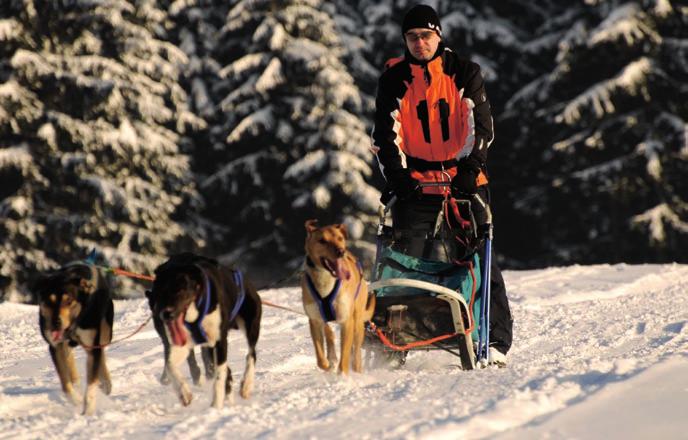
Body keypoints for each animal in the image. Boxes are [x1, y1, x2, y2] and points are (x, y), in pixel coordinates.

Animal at [148, 254, 260, 410]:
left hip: (251, 325)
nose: (166, 314)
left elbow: (219, 376)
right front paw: (184, 393)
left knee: (251, 354)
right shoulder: (180, 345)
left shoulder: (219, 341)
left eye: (180, 289)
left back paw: (246, 386)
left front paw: (216, 405)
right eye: (159, 292)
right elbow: (170, 366)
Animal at [302, 220, 376, 374]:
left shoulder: (346, 321)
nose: (340, 251)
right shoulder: (314, 320)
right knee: (329, 333)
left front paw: (342, 376)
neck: (325, 281)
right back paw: (332, 358)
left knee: (356, 350)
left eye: (340, 238)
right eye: (322, 240)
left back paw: (357, 369)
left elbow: (345, 356)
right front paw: (328, 364)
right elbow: (320, 357)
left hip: (357, 322)